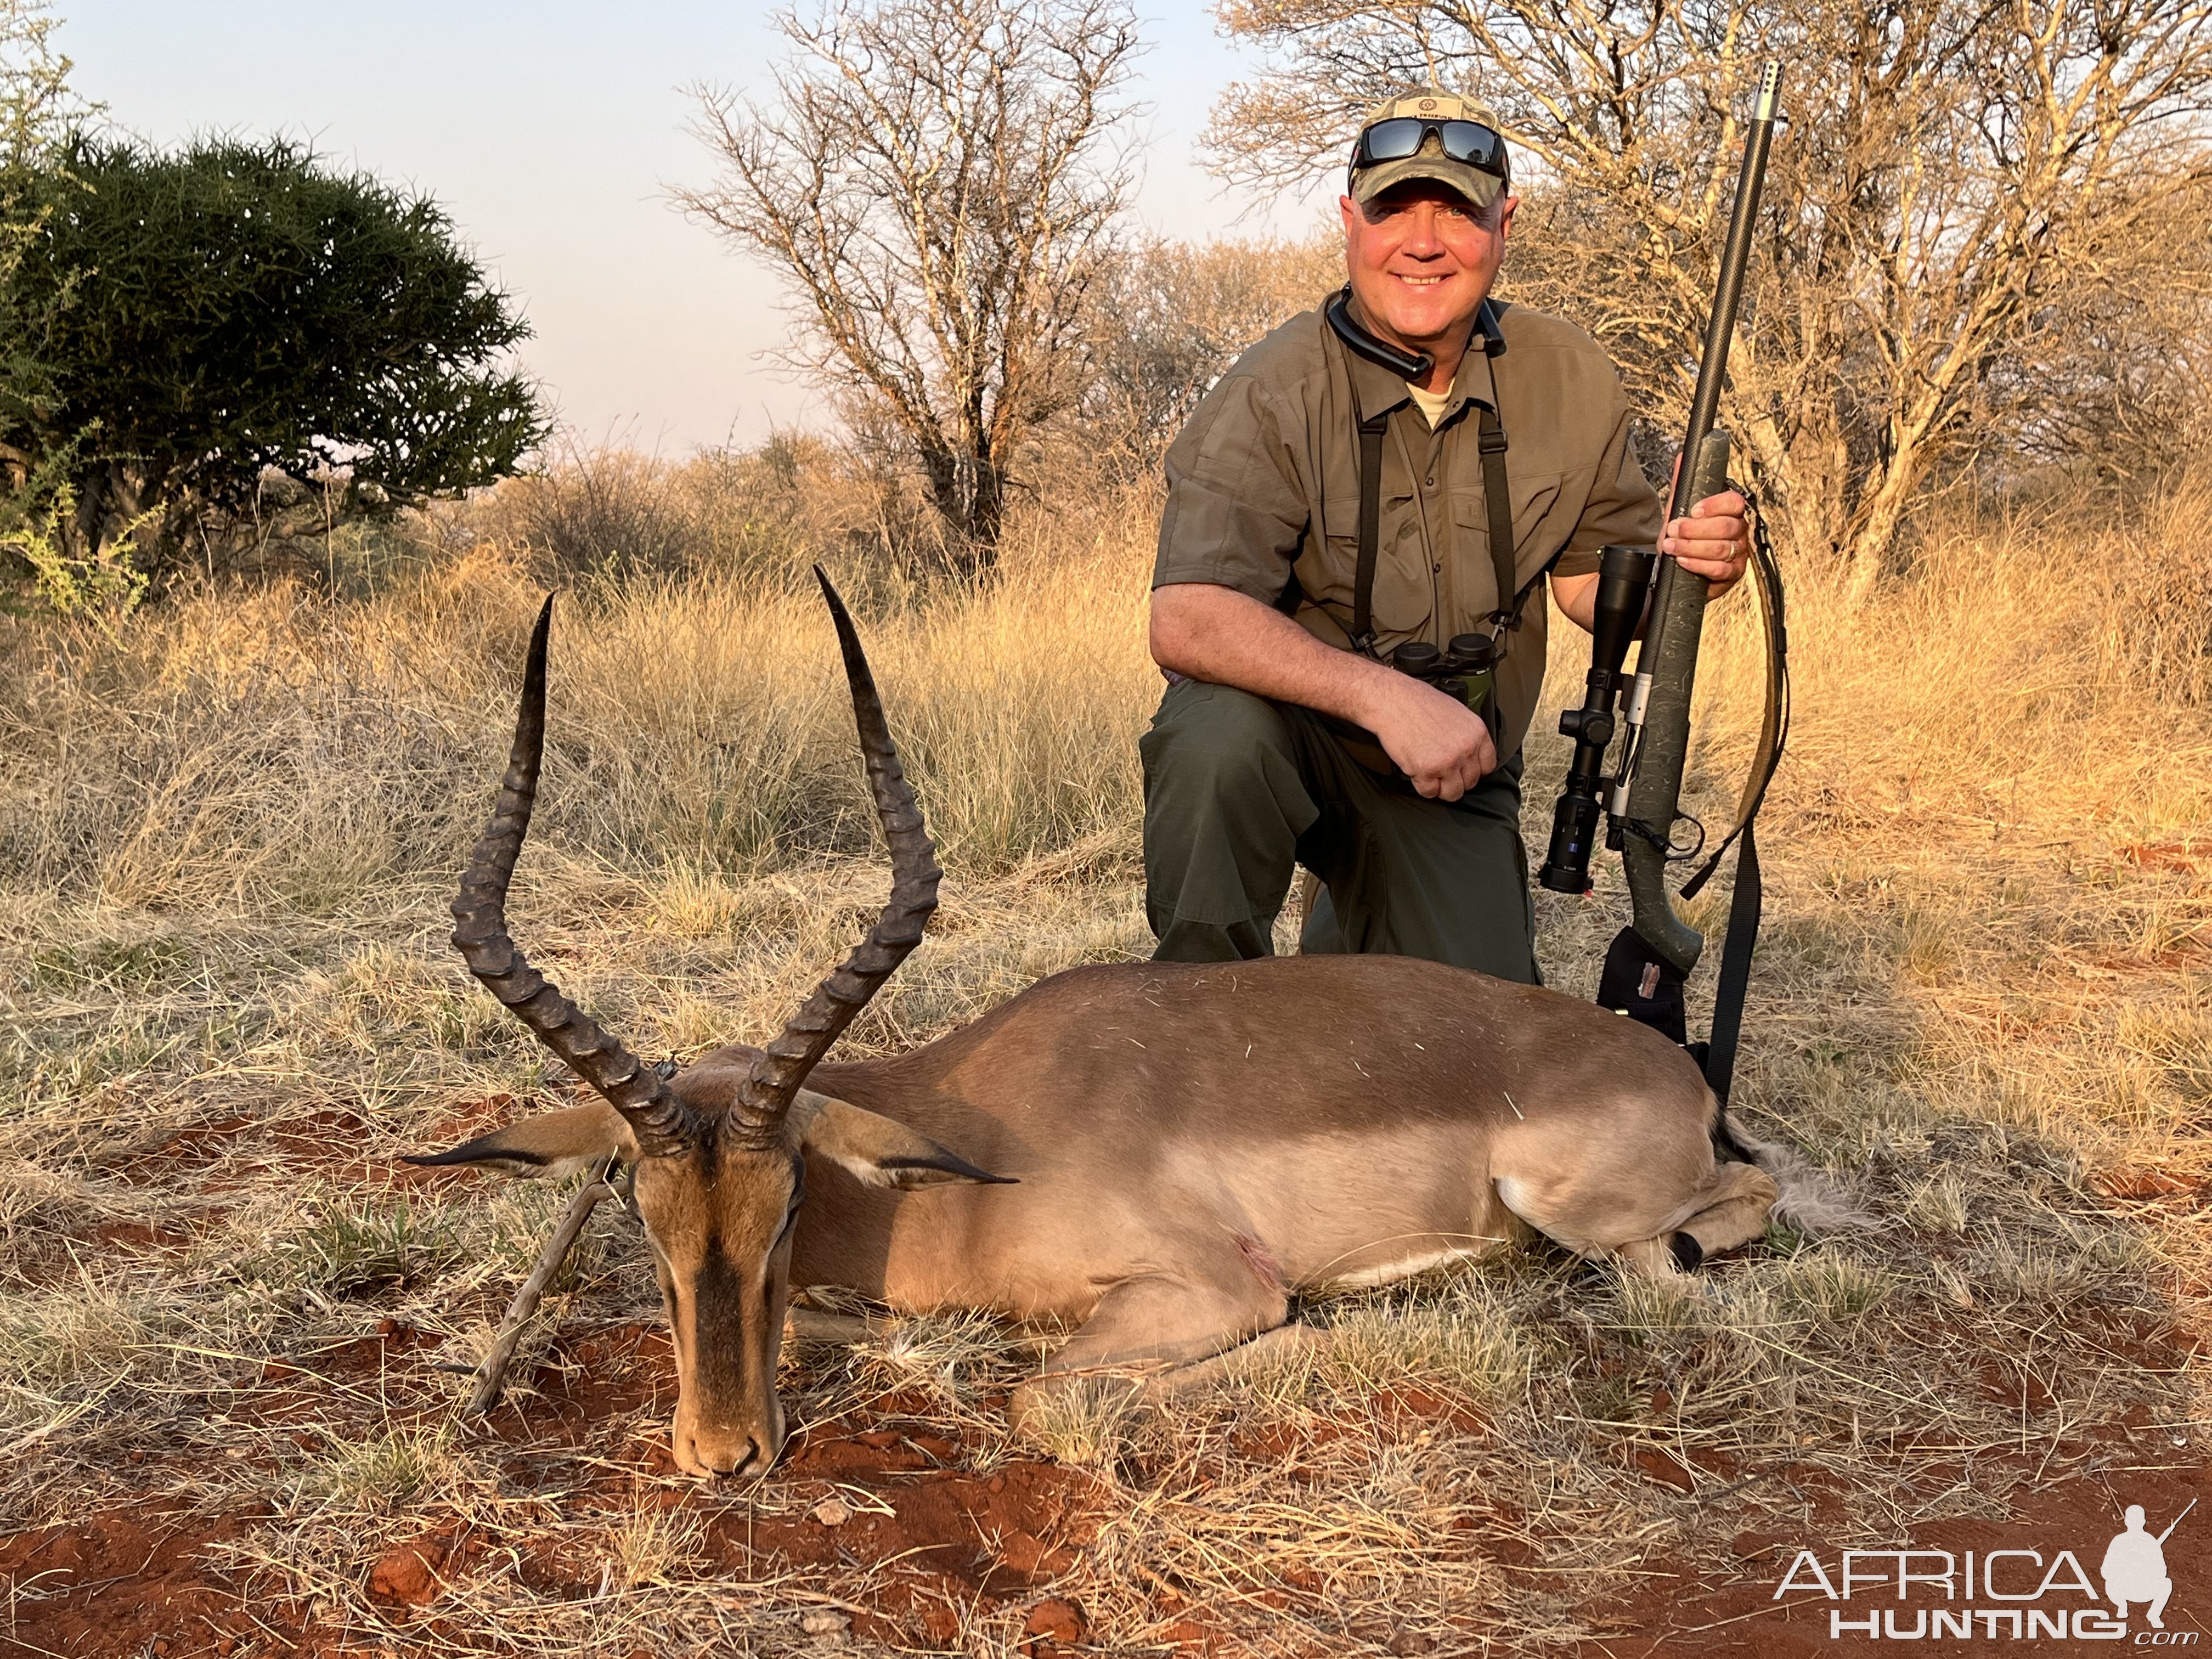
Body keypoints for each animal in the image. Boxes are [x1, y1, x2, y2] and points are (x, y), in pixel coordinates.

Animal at [416, 579, 1814, 1477]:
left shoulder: (1211, 1285)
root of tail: (1674, 1067)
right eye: (643, 1215)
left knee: (1718, 1230)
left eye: (791, 1201)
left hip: (1574, 1207)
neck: (982, 1142)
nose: (721, 1456)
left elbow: (1051, 1392)